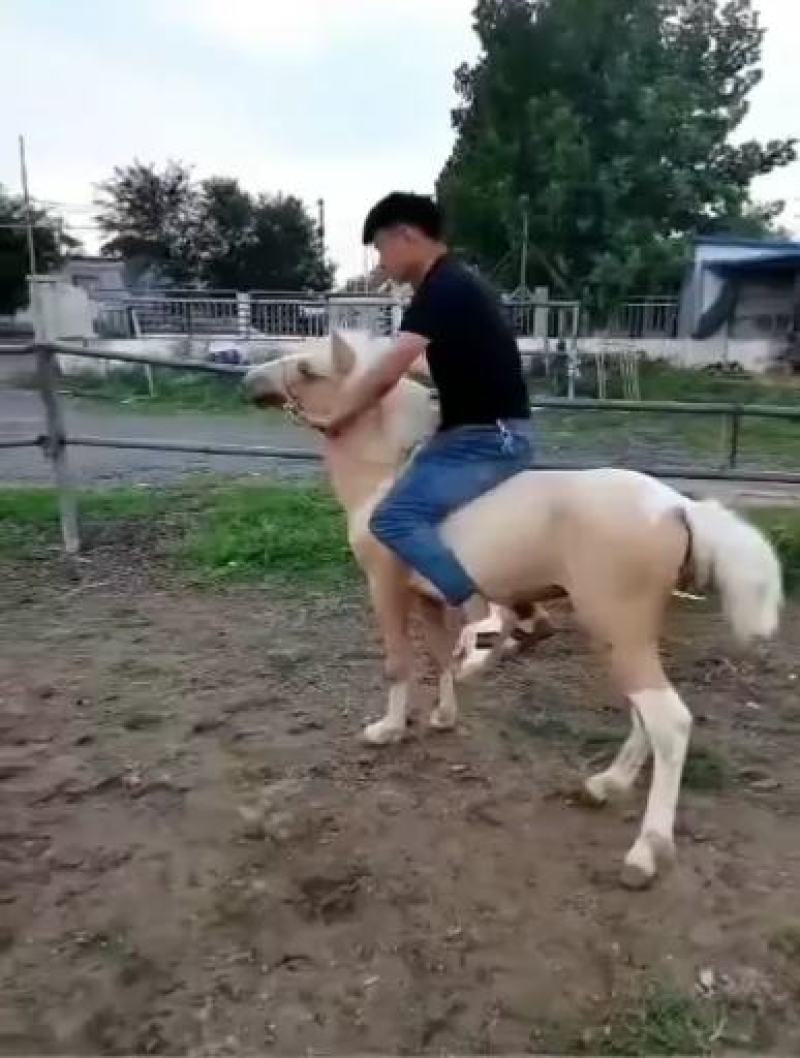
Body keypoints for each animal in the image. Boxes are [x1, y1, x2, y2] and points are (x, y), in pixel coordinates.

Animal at [244, 331, 783, 888]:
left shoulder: (386, 588)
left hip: (619, 630)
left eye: (309, 370)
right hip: (622, 635)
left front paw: (387, 730)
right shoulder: (430, 598)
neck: (384, 478)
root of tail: (678, 506)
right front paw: (443, 717)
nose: (249, 381)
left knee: (670, 723)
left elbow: (399, 663)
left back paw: (646, 852)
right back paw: (606, 784)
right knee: (644, 712)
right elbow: (440, 658)